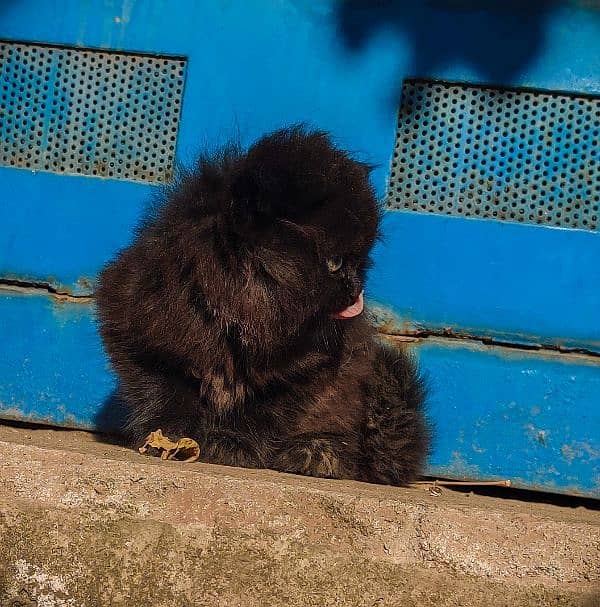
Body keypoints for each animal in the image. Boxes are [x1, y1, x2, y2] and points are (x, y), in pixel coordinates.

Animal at [96, 126, 428, 486]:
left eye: (360, 262)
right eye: (336, 262)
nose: (357, 287)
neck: (238, 319)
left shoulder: (301, 377)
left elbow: (260, 417)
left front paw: (230, 444)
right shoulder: (137, 332)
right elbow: (164, 395)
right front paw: (171, 438)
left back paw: (315, 453)